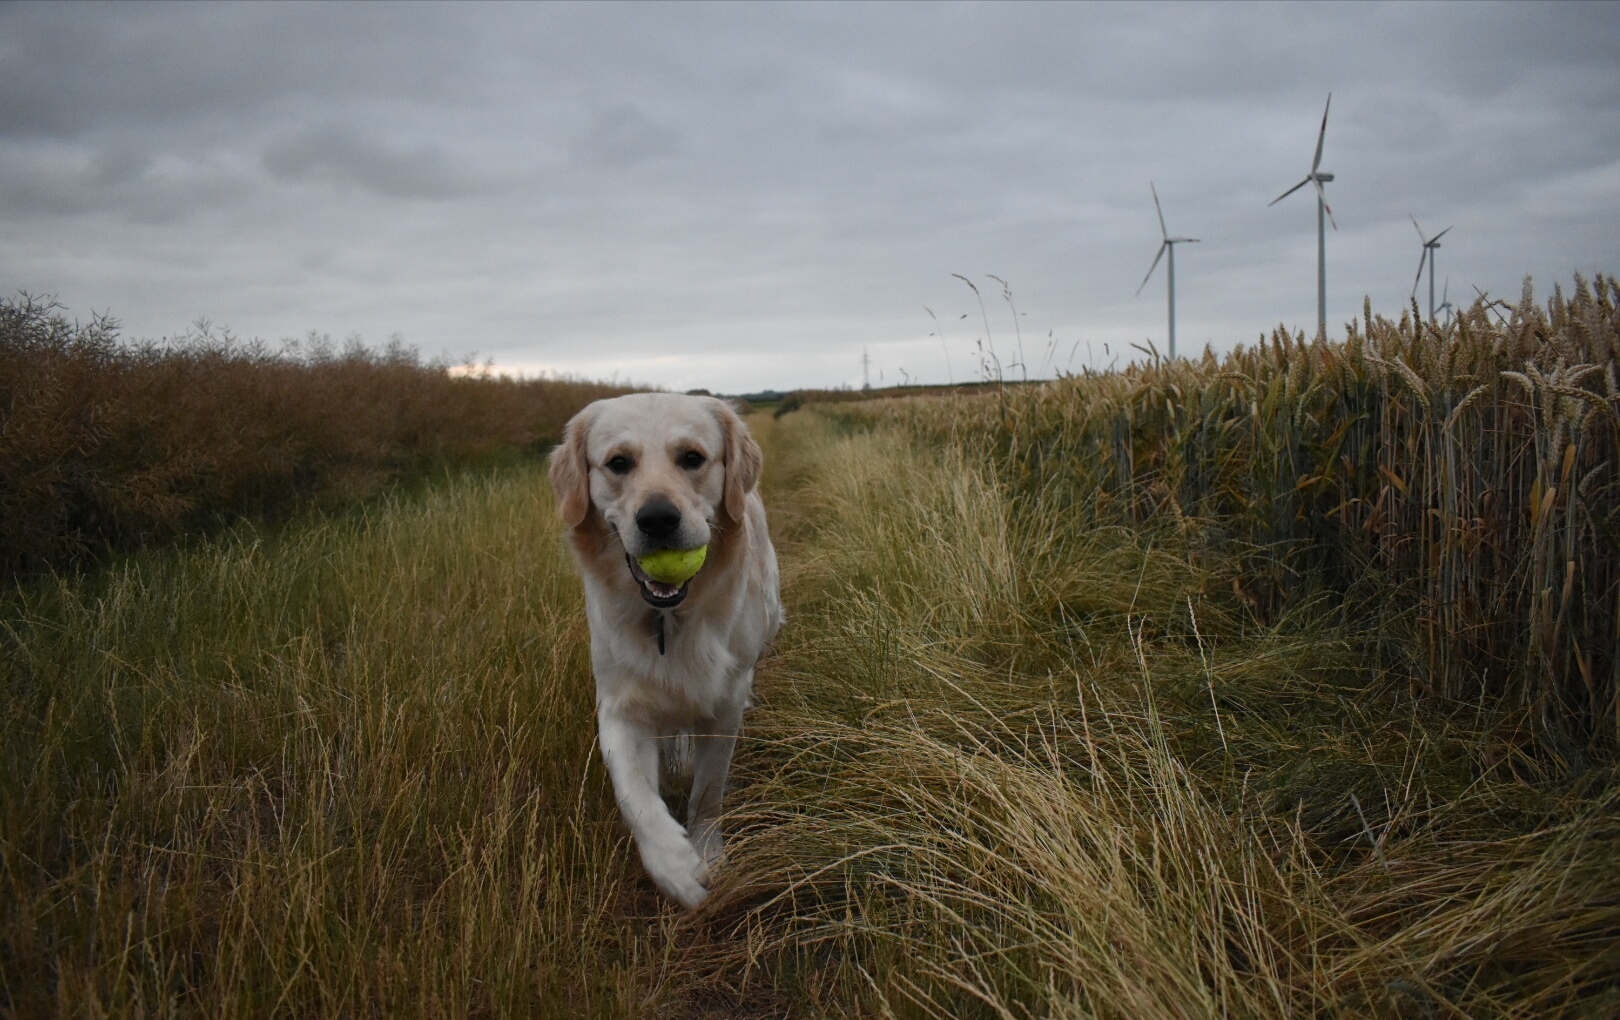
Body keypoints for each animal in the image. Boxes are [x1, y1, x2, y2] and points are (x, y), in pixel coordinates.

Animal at [550, 393, 784, 913]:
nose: (657, 519)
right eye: (619, 463)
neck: (668, 619)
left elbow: (707, 791)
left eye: (692, 458)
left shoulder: (724, 704)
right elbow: (634, 794)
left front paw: (707, 851)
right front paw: (674, 865)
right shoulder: (620, 706)